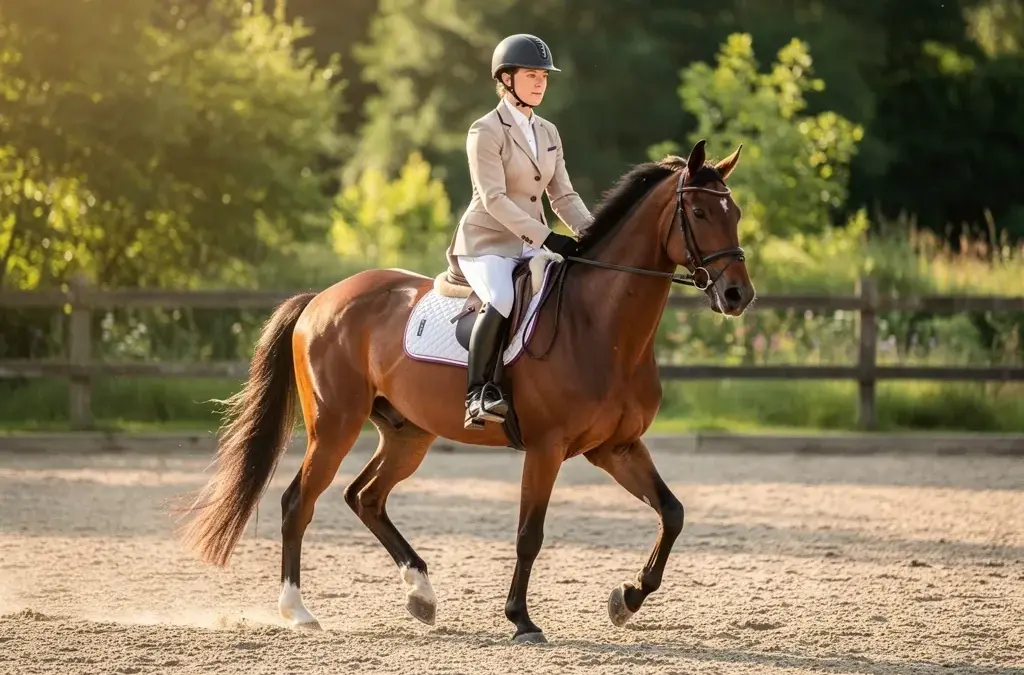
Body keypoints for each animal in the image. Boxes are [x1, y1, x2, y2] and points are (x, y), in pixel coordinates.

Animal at [177, 138, 755, 644]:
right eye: (699, 213)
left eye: (736, 213)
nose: (737, 295)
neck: (602, 327)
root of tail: (321, 299)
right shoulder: (547, 449)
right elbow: (529, 534)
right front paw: (522, 620)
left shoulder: (616, 448)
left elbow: (673, 513)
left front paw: (627, 598)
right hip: (335, 425)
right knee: (299, 500)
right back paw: (298, 611)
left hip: (407, 435)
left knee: (365, 497)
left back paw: (421, 595)